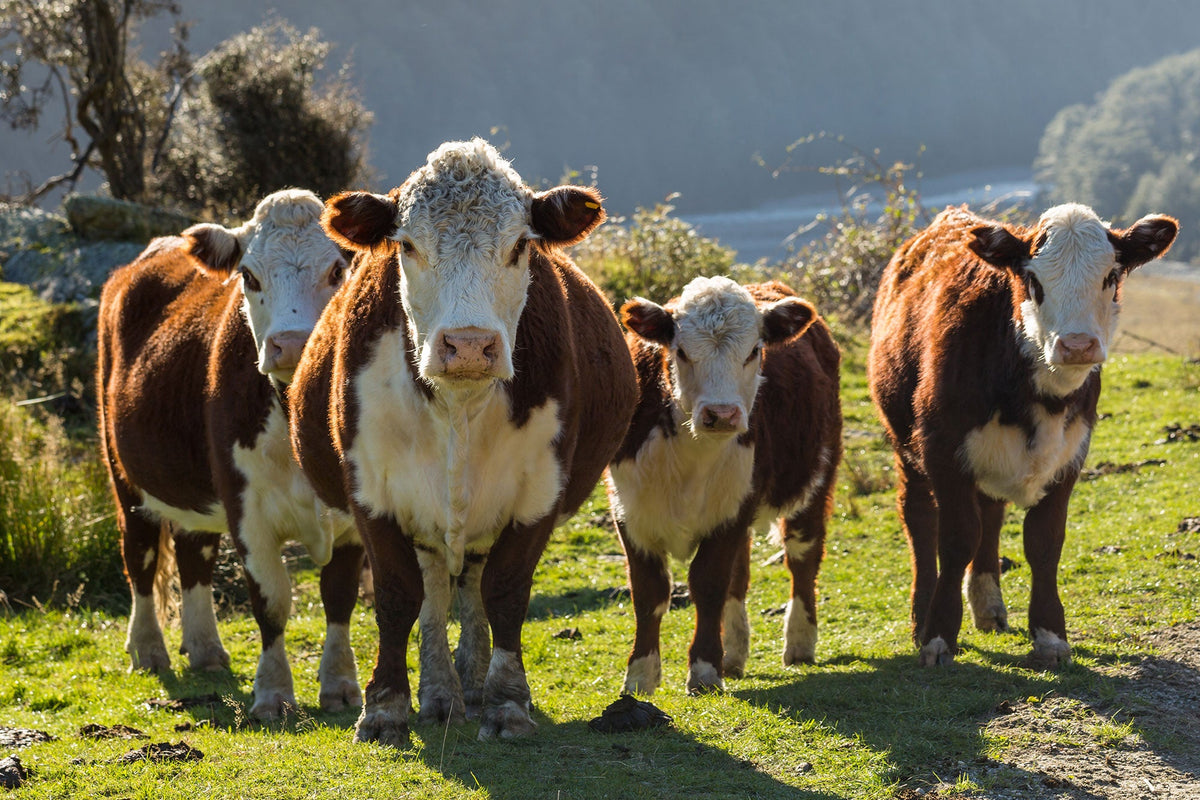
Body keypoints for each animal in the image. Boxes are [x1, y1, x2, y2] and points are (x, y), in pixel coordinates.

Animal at [97, 189, 364, 718]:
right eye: (250, 275)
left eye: (336, 270)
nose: (292, 345)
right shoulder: (248, 511)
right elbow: (272, 599)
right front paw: (274, 693)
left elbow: (340, 596)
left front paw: (341, 685)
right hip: (124, 475)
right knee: (139, 556)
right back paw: (148, 649)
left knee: (193, 555)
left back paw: (205, 650)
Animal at [289, 138, 638, 745]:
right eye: (406, 244)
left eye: (521, 244)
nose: (470, 345)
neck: (457, 406)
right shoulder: (370, 491)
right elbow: (397, 595)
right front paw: (385, 707)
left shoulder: (540, 490)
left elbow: (506, 591)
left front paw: (506, 701)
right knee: (433, 589)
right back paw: (440, 695)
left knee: (471, 583)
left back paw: (469, 687)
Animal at [607, 277, 842, 695]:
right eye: (681, 351)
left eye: (754, 351)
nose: (722, 414)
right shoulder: (629, 509)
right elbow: (650, 592)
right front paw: (640, 675)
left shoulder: (734, 508)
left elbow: (709, 583)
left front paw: (703, 670)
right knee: (741, 575)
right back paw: (733, 654)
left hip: (815, 479)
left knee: (802, 557)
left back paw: (799, 642)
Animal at [868, 203, 1178, 667]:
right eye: (1033, 280)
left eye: (1110, 275)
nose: (1077, 345)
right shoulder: (942, 447)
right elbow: (956, 538)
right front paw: (938, 635)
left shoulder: (1071, 453)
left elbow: (1044, 542)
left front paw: (1050, 636)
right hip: (904, 442)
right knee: (919, 518)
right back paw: (921, 616)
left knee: (990, 514)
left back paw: (988, 606)